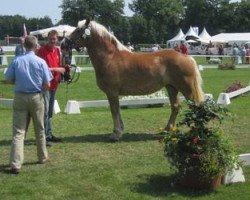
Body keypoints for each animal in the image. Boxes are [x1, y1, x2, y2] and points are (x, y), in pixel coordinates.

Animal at [61, 18, 204, 141]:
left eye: (78, 30)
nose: (63, 44)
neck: (110, 57)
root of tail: (186, 57)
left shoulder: (112, 92)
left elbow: (114, 111)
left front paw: (116, 134)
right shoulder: (114, 94)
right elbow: (117, 110)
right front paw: (120, 131)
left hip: (186, 89)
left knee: (196, 107)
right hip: (171, 88)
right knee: (175, 107)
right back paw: (167, 130)